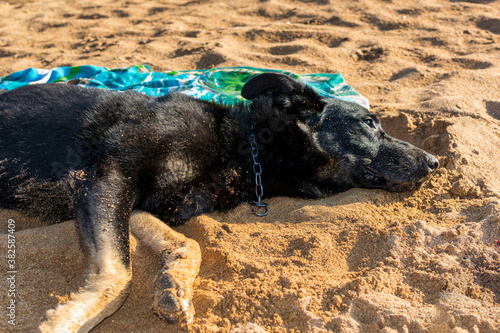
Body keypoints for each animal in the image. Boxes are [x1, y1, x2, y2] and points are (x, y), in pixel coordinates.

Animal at [0, 73, 438, 332]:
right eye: (369, 124)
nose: (435, 162)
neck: (243, 148)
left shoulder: (143, 204)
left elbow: (188, 244)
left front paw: (172, 285)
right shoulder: (108, 175)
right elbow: (117, 275)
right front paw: (62, 322)